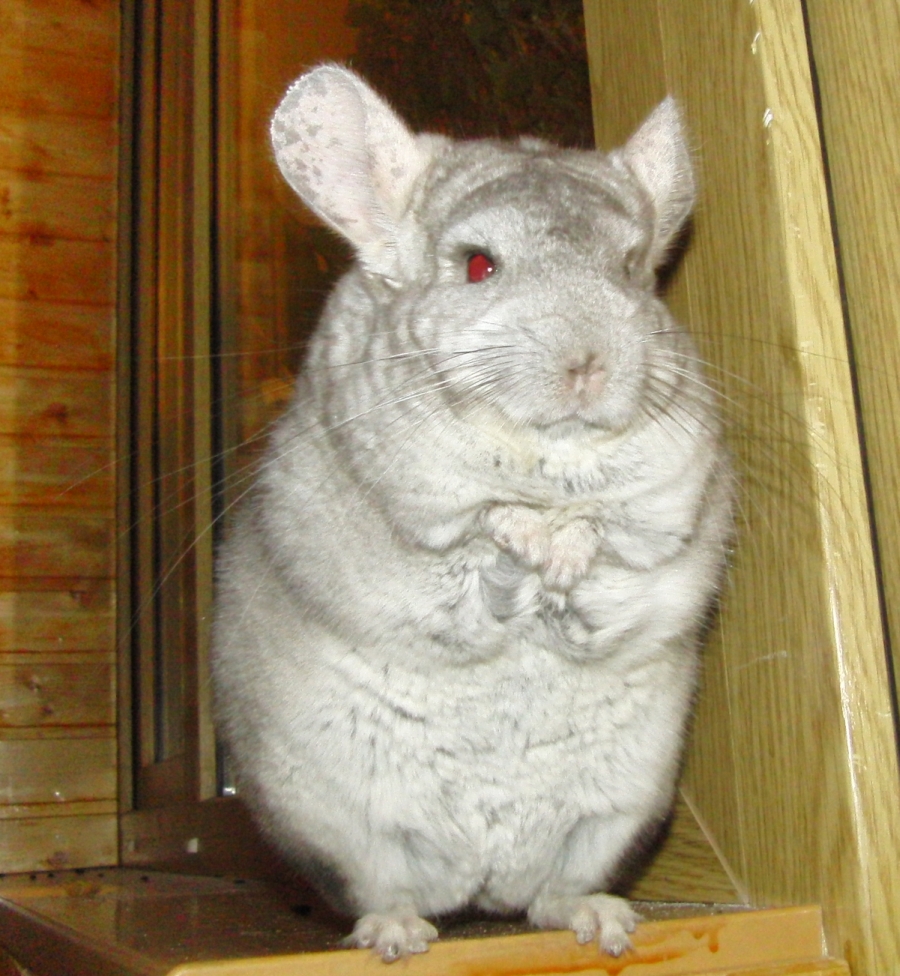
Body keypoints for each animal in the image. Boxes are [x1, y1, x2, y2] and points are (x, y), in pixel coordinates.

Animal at [211, 64, 734, 963]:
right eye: (479, 266)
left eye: (633, 269)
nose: (588, 363)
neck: (545, 458)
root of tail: (480, 883)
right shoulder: (409, 527)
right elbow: (484, 529)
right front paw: (530, 538)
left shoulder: (667, 524)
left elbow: (607, 545)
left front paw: (566, 552)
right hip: (344, 826)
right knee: (384, 890)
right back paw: (398, 937)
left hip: (614, 812)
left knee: (549, 897)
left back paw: (604, 923)